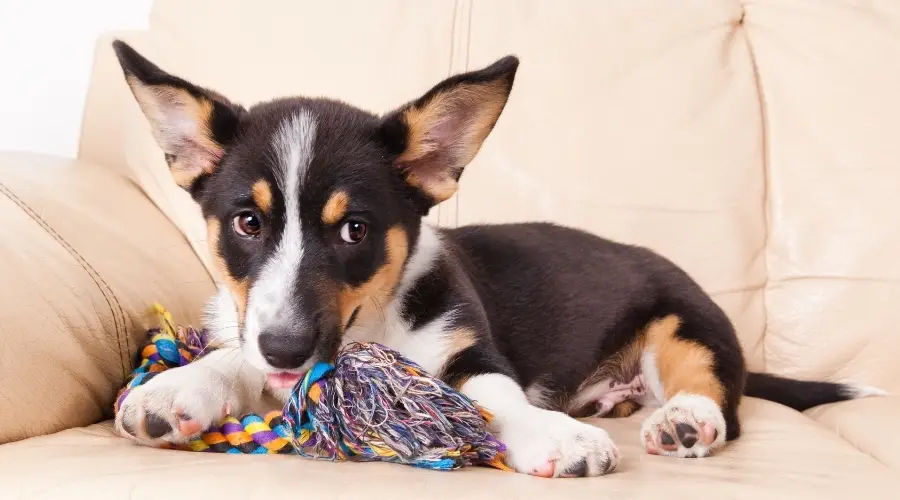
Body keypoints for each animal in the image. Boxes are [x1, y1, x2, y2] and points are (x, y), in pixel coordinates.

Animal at [109, 41, 884, 478]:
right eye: (248, 222)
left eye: (355, 230)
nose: (288, 349)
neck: (370, 331)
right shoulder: (259, 332)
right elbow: (231, 358)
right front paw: (173, 392)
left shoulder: (472, 352)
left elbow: (494, 399)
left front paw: (555, 437)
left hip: (685, 322)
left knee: (717, 393)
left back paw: (683, 421)